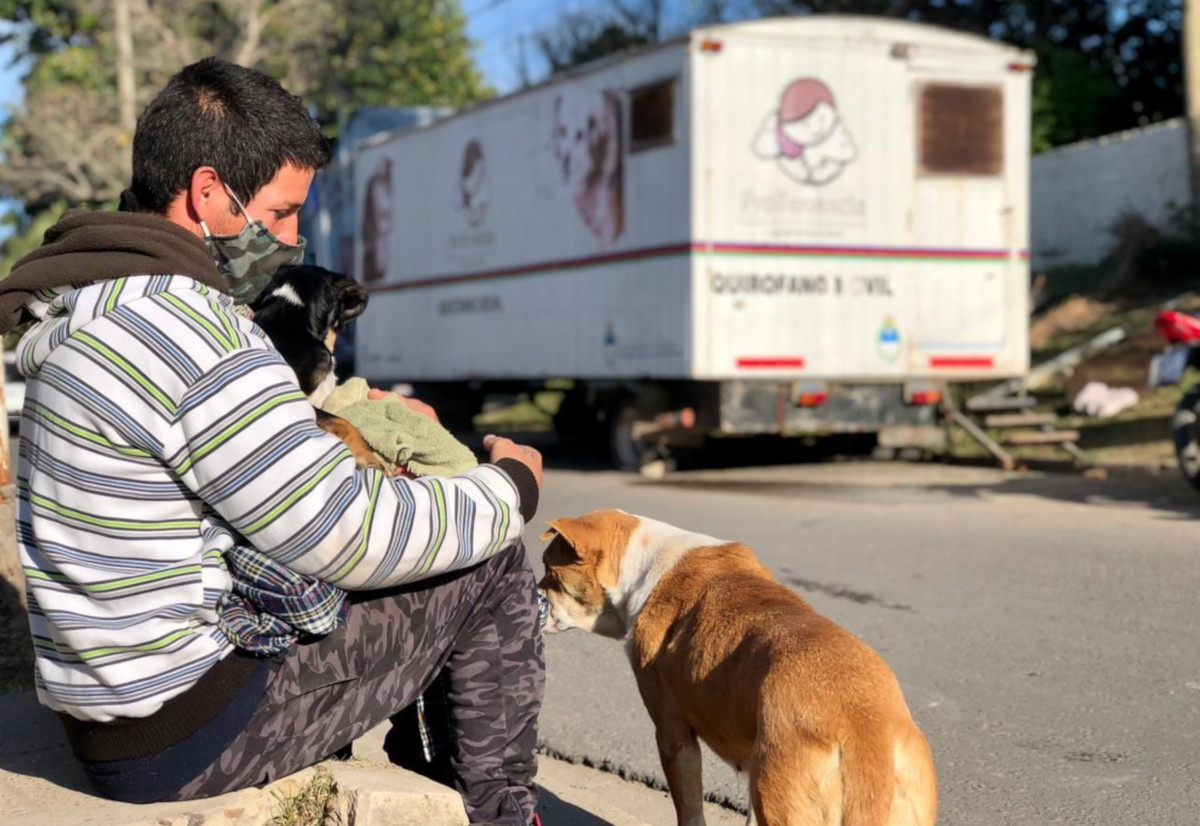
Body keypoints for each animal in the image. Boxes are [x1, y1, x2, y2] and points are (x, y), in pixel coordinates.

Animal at [539, 510, 937, 826]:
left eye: (548, 572)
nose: (533, 591)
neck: (645, 563)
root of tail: (864, 728)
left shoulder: (674, 738)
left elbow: (690, 811)